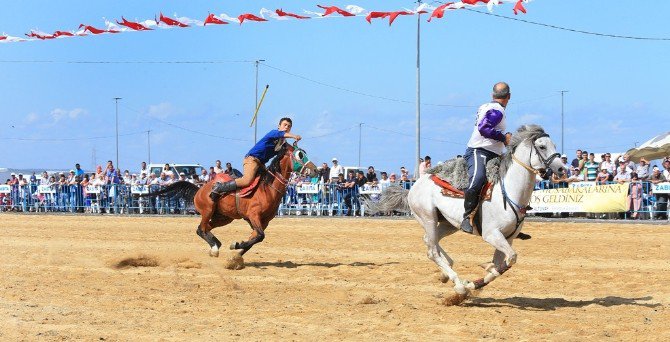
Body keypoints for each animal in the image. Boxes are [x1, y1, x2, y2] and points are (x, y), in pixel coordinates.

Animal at [151, 143, 318, 258]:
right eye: (300, 155)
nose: (316, 170)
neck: (267, 189)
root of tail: (199, 189)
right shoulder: (253, 216)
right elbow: (260, 236)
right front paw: (236, 245)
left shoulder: (264, 221)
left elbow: (256, 238)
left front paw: (236, 254)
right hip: (207, 210)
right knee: (200, 229)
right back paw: (214, 248)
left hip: (224, 218)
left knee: (206, 228)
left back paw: (216, 243)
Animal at [370, 125, 564, 300]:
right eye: (542, 146)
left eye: (554, 144)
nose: (561, 169)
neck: (508, 191)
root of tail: (414, 185)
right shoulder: (491, 235)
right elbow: (511, 258)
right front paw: (469, 285)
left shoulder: (507, 238)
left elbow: (502, 264)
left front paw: (477, 280)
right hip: (428, 218)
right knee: (432, 251)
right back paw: (458, 284)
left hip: (448, 224)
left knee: (430, 242)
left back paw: (447, 272)